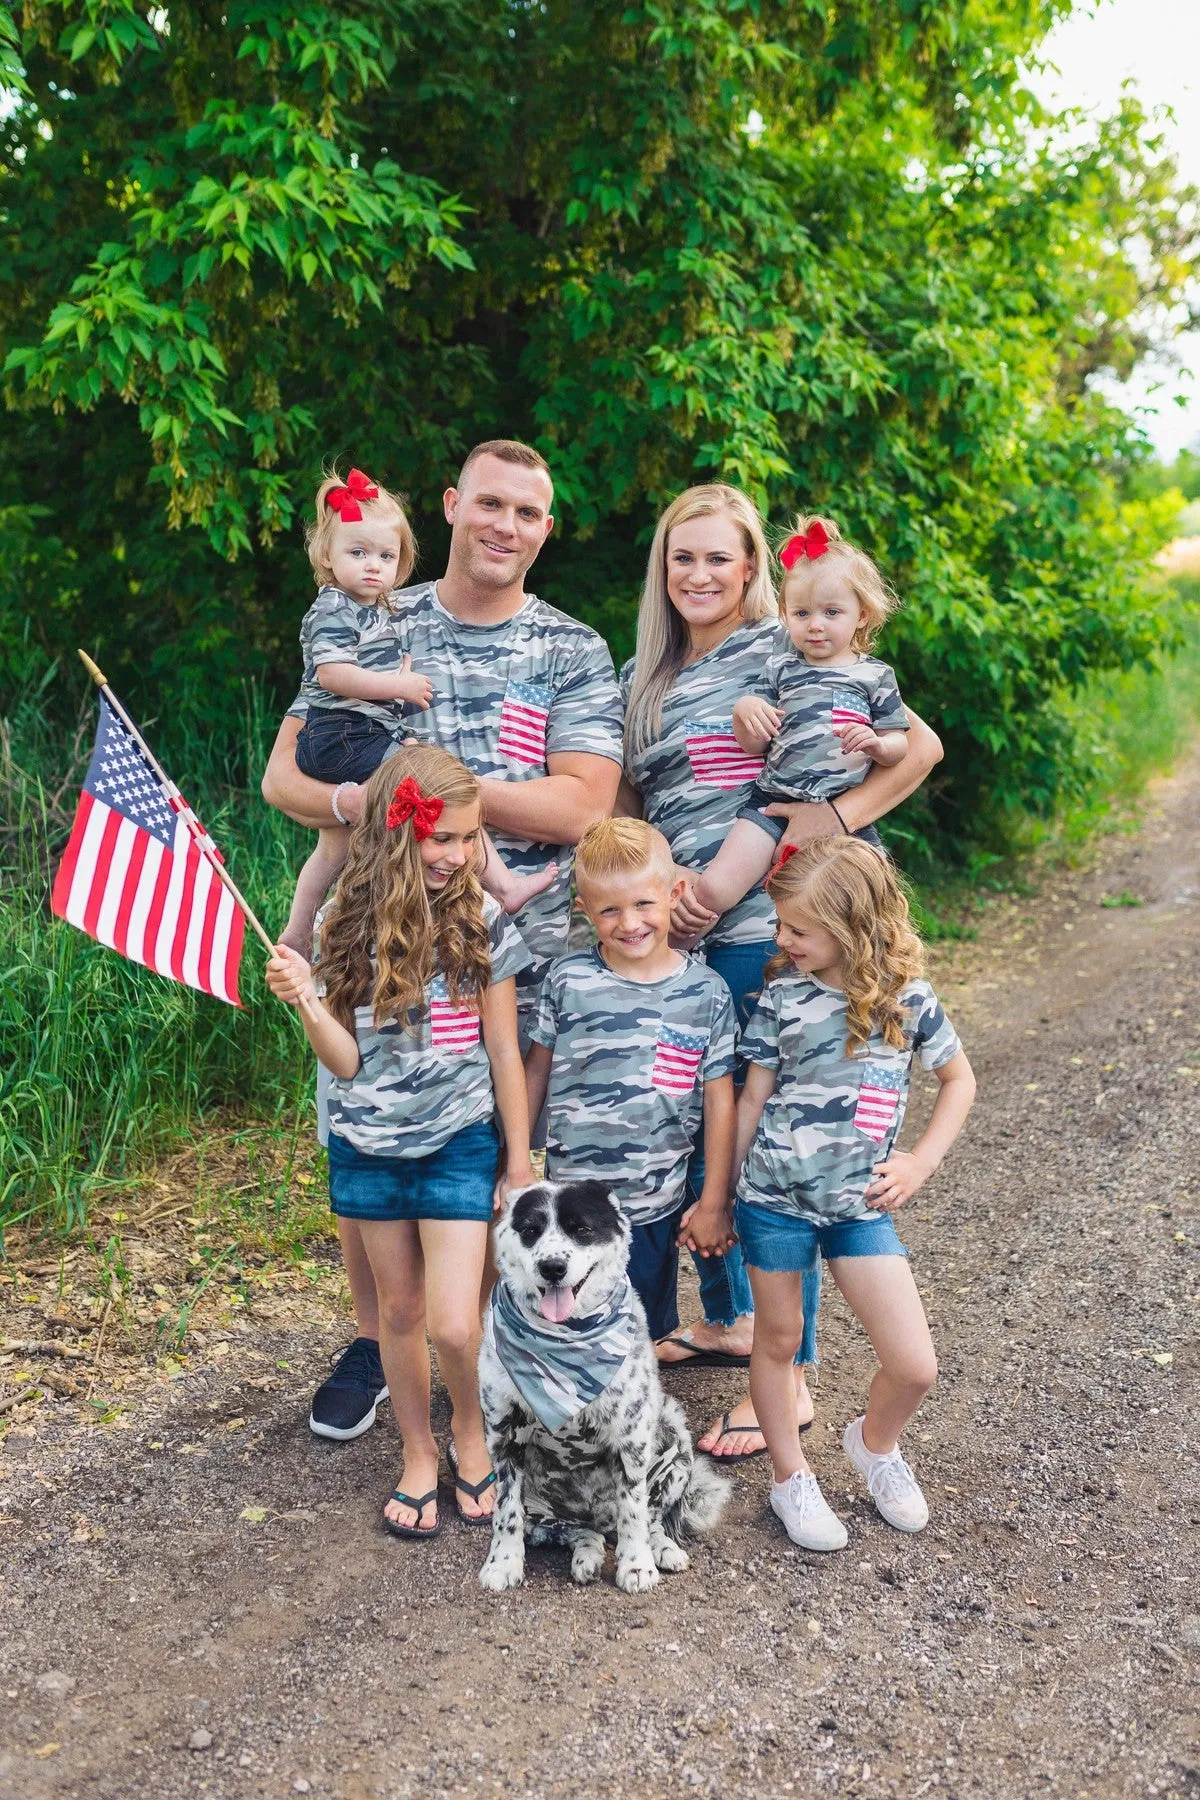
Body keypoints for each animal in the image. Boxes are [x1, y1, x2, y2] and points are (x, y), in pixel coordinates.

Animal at [478, 1180, 734, 1591]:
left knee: (650, 1519)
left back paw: (663, 1549)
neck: (567, 1340)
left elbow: (633, 1512)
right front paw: (503, 1563)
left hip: (676, 1441)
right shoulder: (502, 1437)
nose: (552, 1267)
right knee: (581, 1533)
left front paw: (636, 1565)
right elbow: (506, 1512)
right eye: (530, 1230)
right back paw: (587, 1555)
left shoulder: (631, 1438)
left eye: (581, 1229)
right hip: (547, 1516)